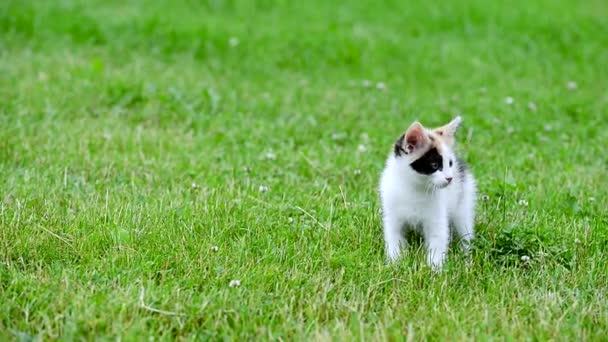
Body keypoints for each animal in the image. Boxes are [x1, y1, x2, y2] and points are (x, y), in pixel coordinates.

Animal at [380, 117, 476, 270]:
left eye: (450, 164)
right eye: (434, 165)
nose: (450, 178)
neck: (415, 188)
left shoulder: (436, 217)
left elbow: (438, 240)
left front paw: (434, 269)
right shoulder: (392, 216)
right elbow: (394, 238)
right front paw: (394, 263)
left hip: (463, 202)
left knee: (465, 230)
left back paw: (466, 257)